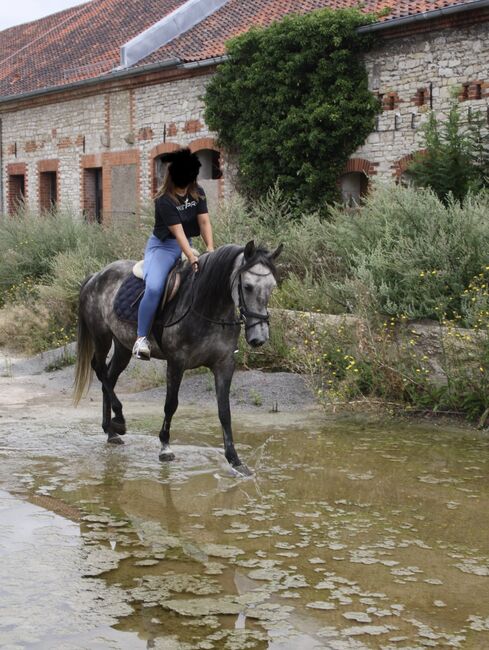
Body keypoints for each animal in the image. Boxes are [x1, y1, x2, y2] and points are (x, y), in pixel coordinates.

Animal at [71, 240, 282, 474]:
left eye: (272, 287)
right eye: (247, 286)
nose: (259, 338)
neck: (208, 307)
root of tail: (96, 276)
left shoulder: (224, 364)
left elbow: (224, 412)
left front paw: (235, 461)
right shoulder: (176, 363)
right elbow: (171, 404)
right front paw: (165, 447)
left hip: (123, 346)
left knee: (109, 377)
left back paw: (111, 430)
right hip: (101, 336)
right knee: (100, 369)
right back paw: (119, 419)